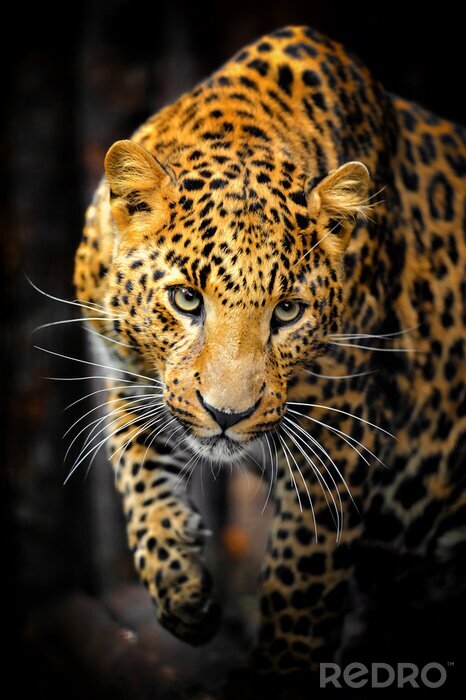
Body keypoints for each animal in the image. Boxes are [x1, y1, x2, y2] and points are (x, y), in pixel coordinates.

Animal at [74, 25, 466, 674]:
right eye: (186, 299)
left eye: (287, 311)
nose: (226, 416)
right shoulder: (125, 372)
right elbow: (137, 470)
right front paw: (180, 584)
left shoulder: (341, 431)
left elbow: (300, 581)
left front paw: (278, 668)